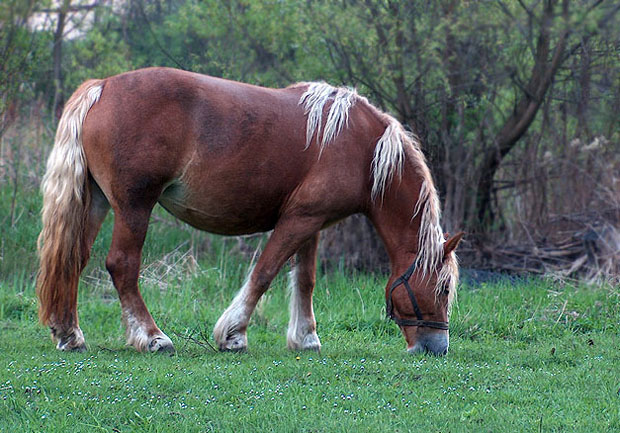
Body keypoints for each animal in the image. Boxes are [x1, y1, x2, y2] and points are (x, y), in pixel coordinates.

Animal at [35, 67, 460, 356]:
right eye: (443, 287)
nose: (436, 347)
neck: (362, 147)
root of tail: (103, 86)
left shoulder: (313, 224)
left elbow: (305, 279)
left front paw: (305, 337)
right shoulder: (298, 220)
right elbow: (265, 272)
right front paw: (233, 334)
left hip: (97, 202)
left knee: (73, 259)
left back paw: (69, 334)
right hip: (134, 206)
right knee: (122, 265)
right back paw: (152, 337)